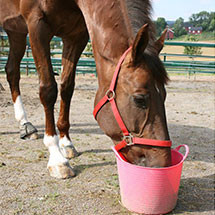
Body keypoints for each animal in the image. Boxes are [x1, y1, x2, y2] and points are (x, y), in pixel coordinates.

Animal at [0, 0, 171, 178]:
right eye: (139, 99)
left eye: (164, 95)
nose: (162, 164)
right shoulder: (37, 24)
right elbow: (48, 90)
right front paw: (57, 158)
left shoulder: (76, 35)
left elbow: (67, 87)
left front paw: (66, 143)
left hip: (16, 31)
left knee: (12, 71)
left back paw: (25, 124)